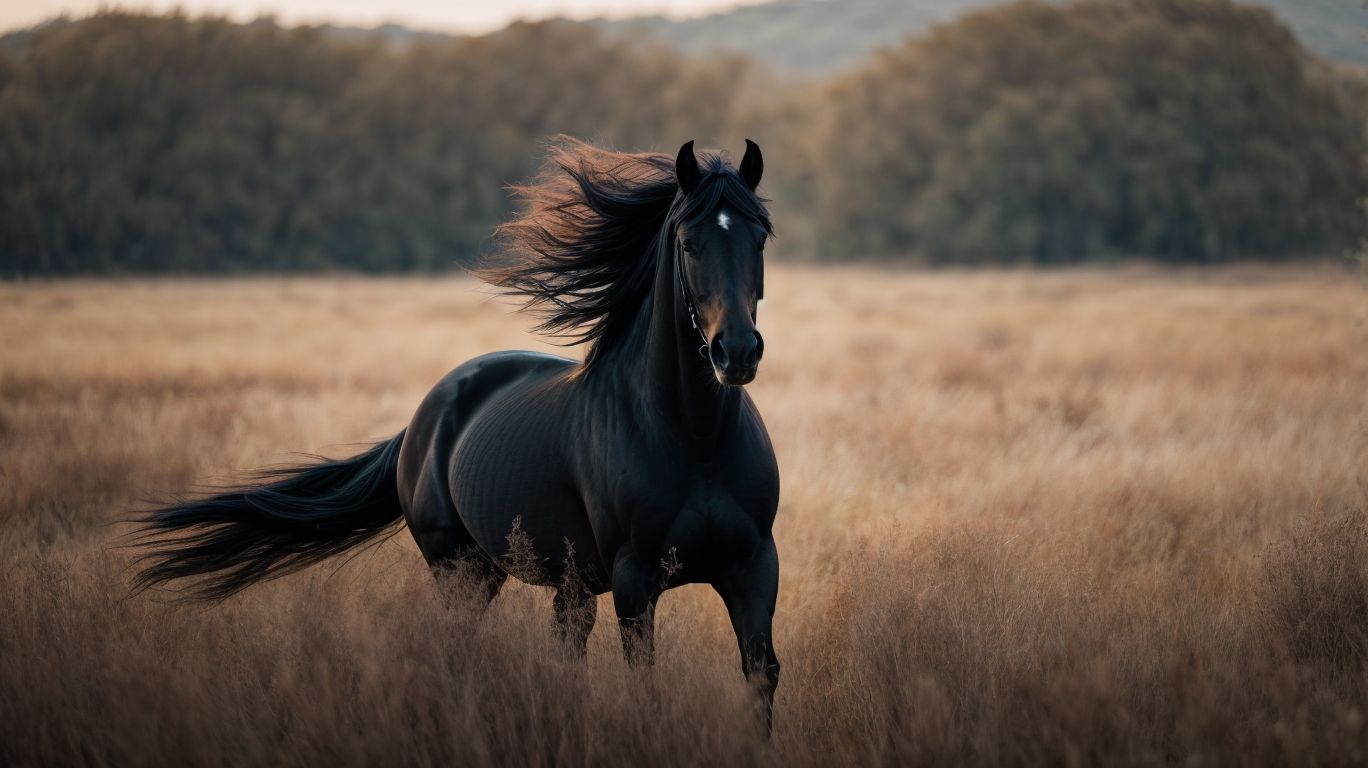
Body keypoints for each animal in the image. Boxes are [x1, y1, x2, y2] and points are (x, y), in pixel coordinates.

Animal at [132, 137, 782, 731]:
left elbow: (760, 674)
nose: (736, 353)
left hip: (565, 580)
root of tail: (426, 415)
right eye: (689, 243)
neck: (693, 439)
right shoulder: (635, 578)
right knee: (461, 651)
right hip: (460, 570)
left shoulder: (752, 568)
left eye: (759, 239)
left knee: (563, 650)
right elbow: (644, 682)